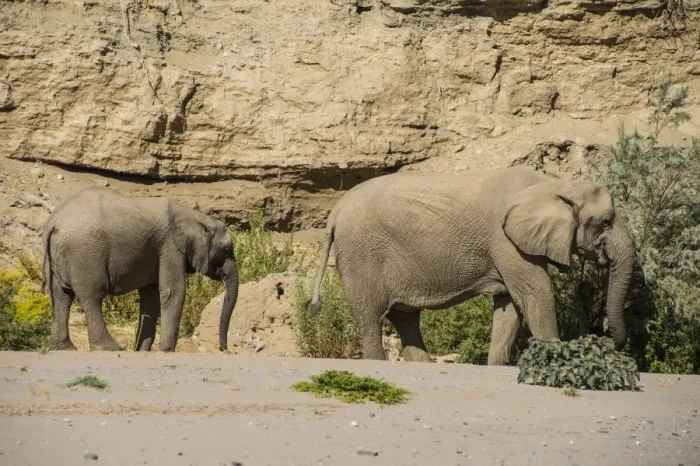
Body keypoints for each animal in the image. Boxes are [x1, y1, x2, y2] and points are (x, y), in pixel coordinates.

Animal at [42, 187, 239, 352]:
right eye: (226, 250)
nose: (224, 349)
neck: (196, 216)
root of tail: (54, 220)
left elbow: (151, 298)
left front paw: (142, 350)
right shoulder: (170, 247)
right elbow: (173, 292)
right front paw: (166, 351)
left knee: (61, 297)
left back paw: (63, 348)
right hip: (85, 254)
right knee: (92, 297)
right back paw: (110, 348)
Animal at [308, 166, 635, 365]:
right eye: (605, 222)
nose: (603, 338)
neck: (554, 183)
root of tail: (335, 210)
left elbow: (509, 305)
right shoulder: (504, 240)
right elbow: (535, 294)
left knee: (405, 317)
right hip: (361, 254)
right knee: (371, 318)